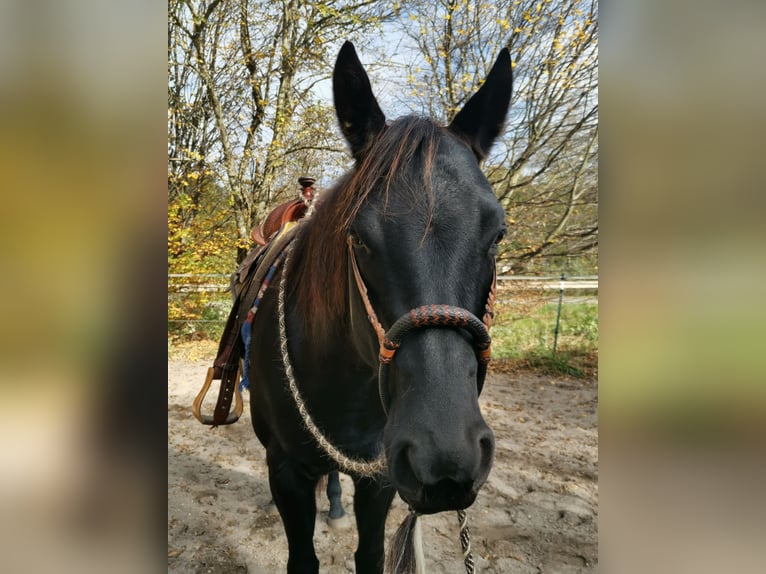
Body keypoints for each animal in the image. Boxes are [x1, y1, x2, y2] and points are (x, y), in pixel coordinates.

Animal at [248, 41, 512, 573]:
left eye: (497, 233)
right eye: (358, 238)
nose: (445, 458)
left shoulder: (382, 477)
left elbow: (368, 553)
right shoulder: (286, 474)